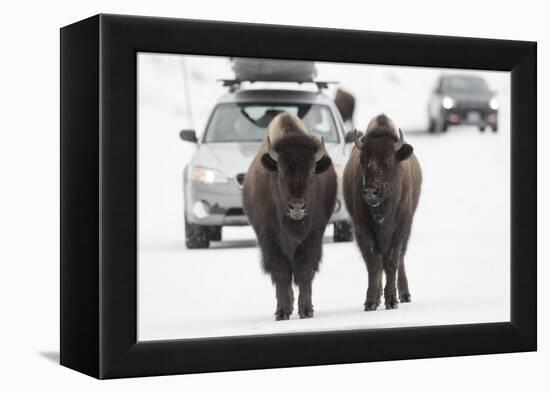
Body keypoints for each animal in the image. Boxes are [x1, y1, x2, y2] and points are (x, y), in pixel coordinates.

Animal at [245, 112, 338, 318]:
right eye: (280, 171)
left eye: (312, 171)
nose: (297, 206)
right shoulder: (269, 239)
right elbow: (281, 273)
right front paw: (282, 312)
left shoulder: (313, 236)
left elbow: (304, 271)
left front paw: (306, 310)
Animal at [344, 113, 422, 310]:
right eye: (363, 161)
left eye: (389, 160)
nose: (370, 192)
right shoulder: (362, 228)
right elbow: (374, 262)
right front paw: (371, 301)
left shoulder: (401, 227)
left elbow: (392, 261)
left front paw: (392, 300)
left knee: (400, 259)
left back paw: (404, 294)